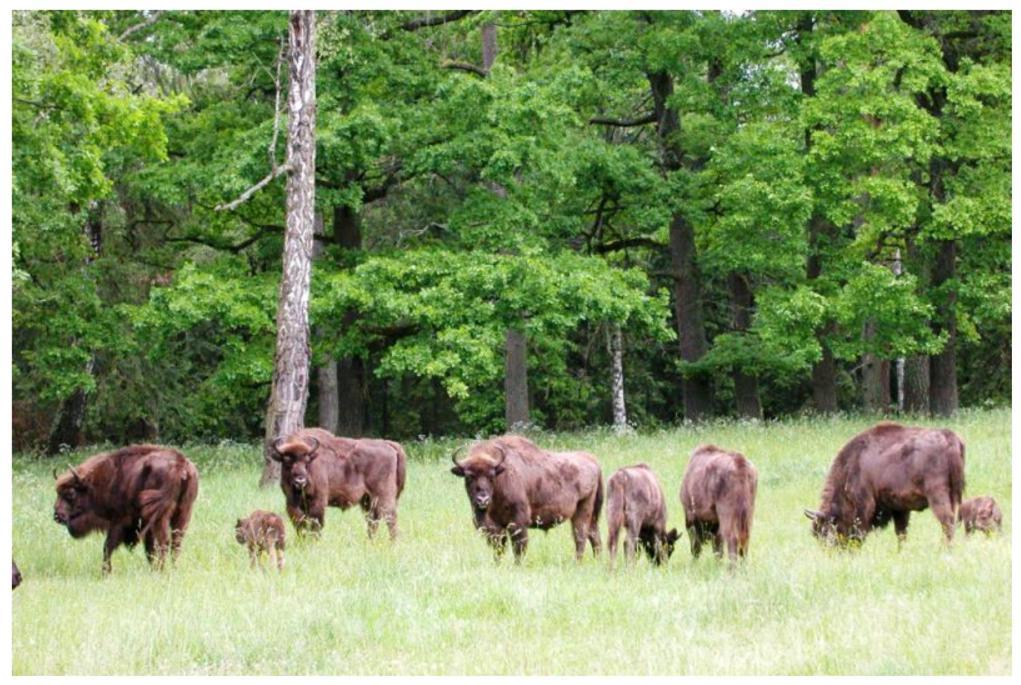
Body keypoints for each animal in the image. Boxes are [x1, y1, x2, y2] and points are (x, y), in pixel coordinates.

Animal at [52, 445, 200, 571]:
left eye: (71, 493)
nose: (57, 515)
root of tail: (181, 464)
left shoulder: (120, 520)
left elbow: (108, 546)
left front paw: (105, 572)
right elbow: (149, 549)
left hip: (161, 517)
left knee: (164, 542)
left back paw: (161, 570)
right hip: (183, 512)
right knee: (176, 543)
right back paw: (173, 569)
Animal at [271, 428, 406, 543]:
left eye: (307, 460)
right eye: (287, 459)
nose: (300, 480)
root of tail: (387, 444)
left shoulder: (318, 501)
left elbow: (316, 524)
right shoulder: (292, 503)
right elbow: (300, 524)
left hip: (383, 496)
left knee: (390, 517)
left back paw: (393, 543)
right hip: (368, 500)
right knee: (373, 519)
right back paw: (371, 541)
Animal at [451, 434, 600, 563]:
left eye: (491, 475)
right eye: (469, 476)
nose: (483, 500)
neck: (501, 477)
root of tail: (592, 460)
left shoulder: (518, 522)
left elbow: (519, 547)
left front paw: (517, 564)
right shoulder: (496, 528)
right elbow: (499, 549)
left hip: (582, 510)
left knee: (580, 536)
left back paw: (577, 562)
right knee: (593, 535)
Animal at [804, 422, 963, 547]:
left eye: (825, 531)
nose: (832, 552)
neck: (850, 466)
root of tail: (948, 436)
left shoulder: (864, 503)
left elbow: (860, 529)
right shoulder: (900, 508)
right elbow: (901, 532)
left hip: (937, 495)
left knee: (947, 522)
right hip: (953, 496)